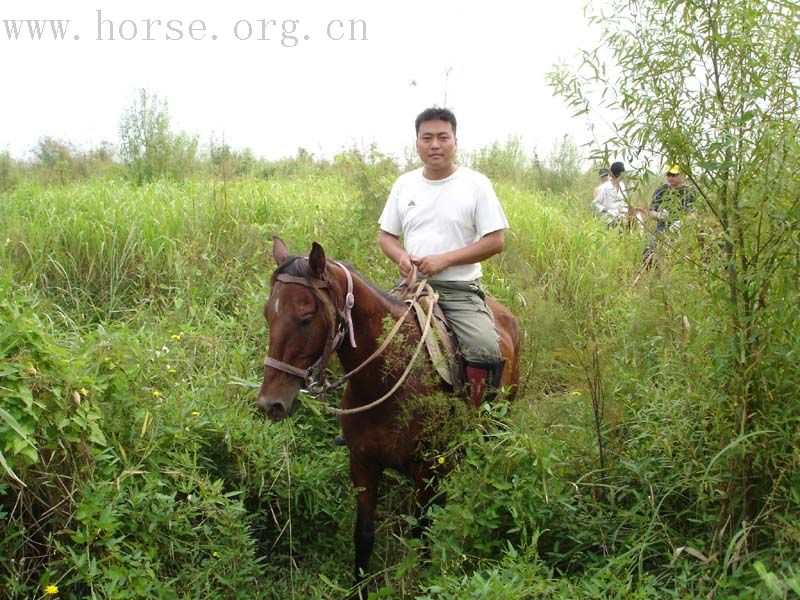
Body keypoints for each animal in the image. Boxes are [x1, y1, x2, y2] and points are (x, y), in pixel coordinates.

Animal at [255, 237, 520, 592]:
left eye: (306, 318)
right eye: (268, 314)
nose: (271, 404)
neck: (388, 379)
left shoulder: (428, 472)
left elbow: (422, 536)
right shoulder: (363, 463)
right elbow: (364, 536)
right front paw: (358, 588)